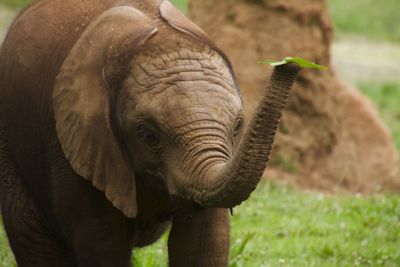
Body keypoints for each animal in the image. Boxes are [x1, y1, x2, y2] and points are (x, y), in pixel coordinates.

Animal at [0, 0, 298, 266]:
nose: (289, 62)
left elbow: (204, 239)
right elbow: (103, 245)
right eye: (148, 136)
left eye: (237, 126)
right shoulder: (72, 141)